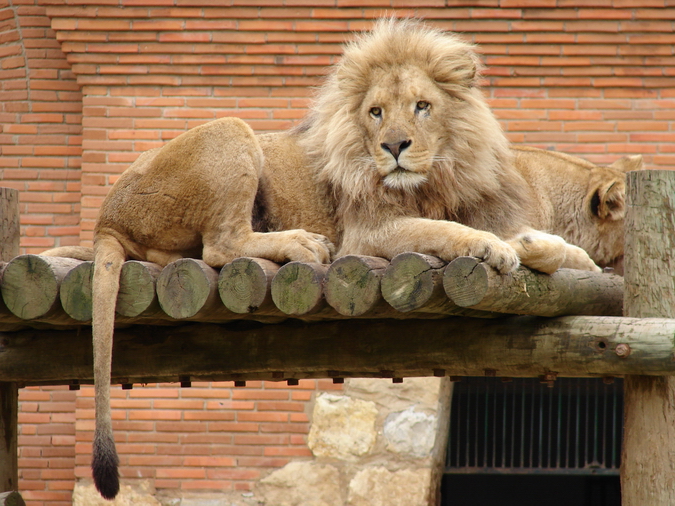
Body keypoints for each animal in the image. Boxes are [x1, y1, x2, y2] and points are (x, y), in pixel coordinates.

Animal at [43, 18, 629, 499]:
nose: (394, 146)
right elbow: (447, 229)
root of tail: (104, 217)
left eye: (422, 106)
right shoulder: (370, 234)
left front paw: (535, 247)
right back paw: (302, 243)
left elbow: (577, 257)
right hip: (231, 130)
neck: (439, 177)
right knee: (221, 244)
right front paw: (495, 247)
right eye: (375, 113)